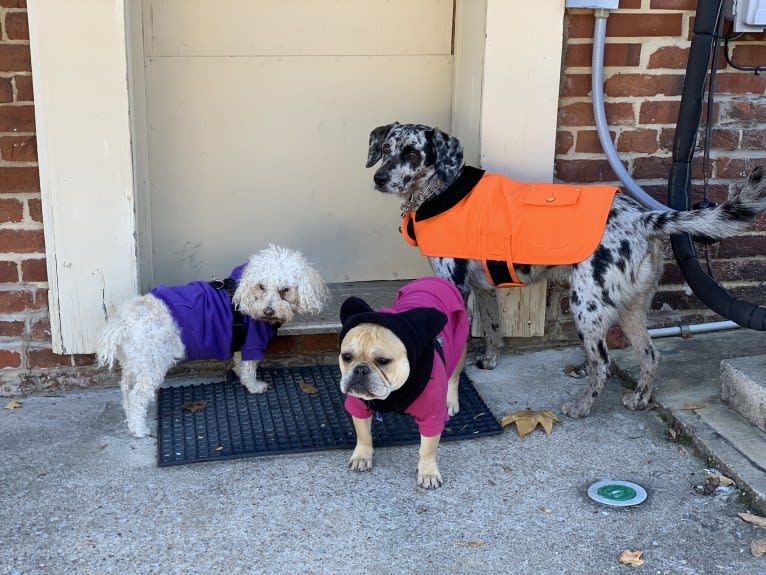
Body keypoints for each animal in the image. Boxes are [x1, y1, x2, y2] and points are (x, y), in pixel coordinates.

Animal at [368, 121, 766, 418]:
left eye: (412, 153)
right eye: (386, 149)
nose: (379, 178)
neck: (440, 189)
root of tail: (644, 218)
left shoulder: (456, 288)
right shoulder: (484, 290)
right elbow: (494, 329)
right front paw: (491, 361)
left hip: (587, 307)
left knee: (603, 363)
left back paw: (581, 407)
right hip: (631, 309)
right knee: (649, 355)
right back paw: (639, 399)